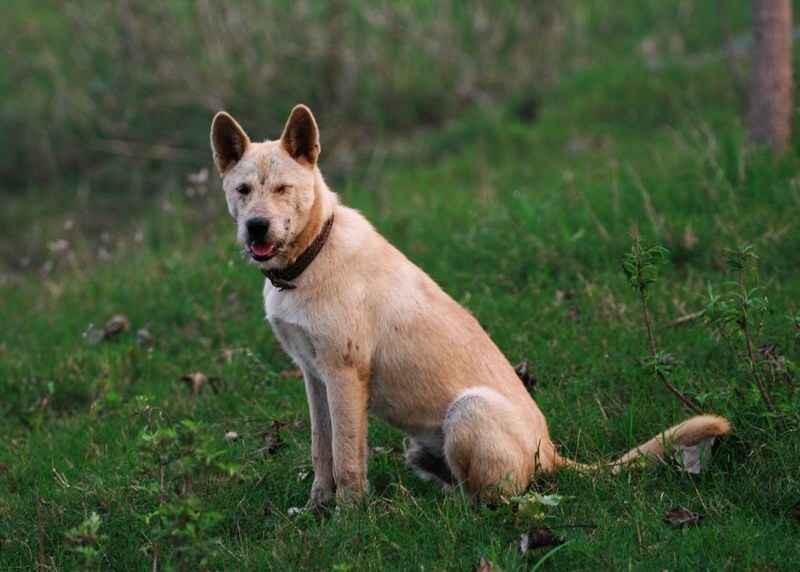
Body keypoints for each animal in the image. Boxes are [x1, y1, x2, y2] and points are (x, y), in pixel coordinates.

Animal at [208, 106, 732, 504]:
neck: (309, 261)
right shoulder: (313, 375)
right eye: (242, 191)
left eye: (283, 189)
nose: (256, 228)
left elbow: (348, 462)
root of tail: (552, 452)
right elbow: (323, 454)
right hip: (419, 446)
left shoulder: (344, 374)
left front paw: (349, 521)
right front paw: (318, 510)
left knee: (498, 500)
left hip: (468, 409)